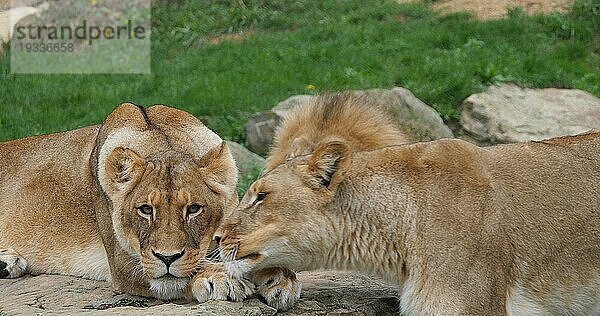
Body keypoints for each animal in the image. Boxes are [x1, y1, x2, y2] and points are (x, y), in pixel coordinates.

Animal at [0, 103, 298, 308]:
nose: (167, 258)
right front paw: (221, 278)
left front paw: (279, 278)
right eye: (145, 210)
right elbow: (181, 274)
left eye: (193, 209)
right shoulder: (125, 265)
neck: (163, 140)